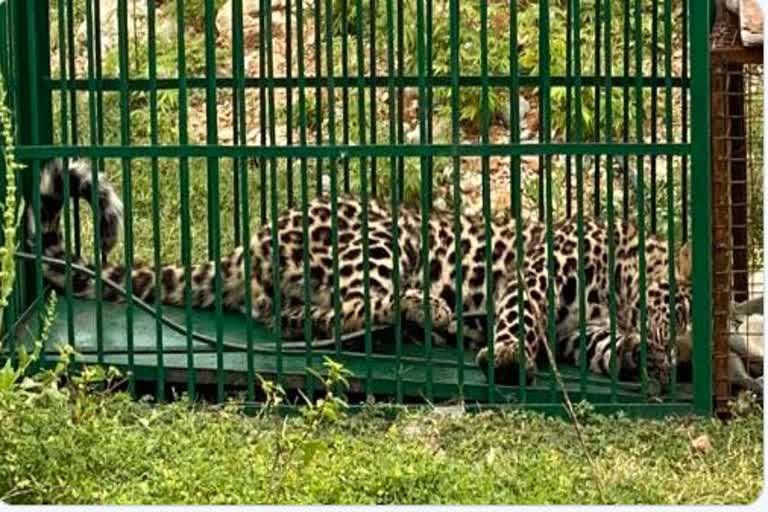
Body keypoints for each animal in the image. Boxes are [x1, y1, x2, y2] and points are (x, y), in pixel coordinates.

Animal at [30, 158, 692, 386]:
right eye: (684, 307)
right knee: (352, 306)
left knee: (305, 323)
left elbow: (602, 346)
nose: (687, 358)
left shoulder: (583, 334)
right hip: (385, 240)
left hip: (302, 292)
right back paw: (432, 312)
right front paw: (506, 355)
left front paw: (643, 358)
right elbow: (518, 312)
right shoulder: (541, 266)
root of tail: (247, 246)